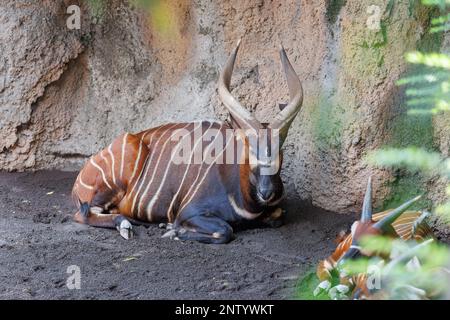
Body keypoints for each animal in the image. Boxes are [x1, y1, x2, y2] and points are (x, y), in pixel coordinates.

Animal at [72, 40, 304, 245]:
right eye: (249, 149)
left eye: (279, 151)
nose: (267, 192)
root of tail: (78, 181)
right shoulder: (190, 211)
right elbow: (225, 230)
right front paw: (174, 231)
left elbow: (278, 215)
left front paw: (168, 228)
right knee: (83, 213)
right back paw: (127, 225)